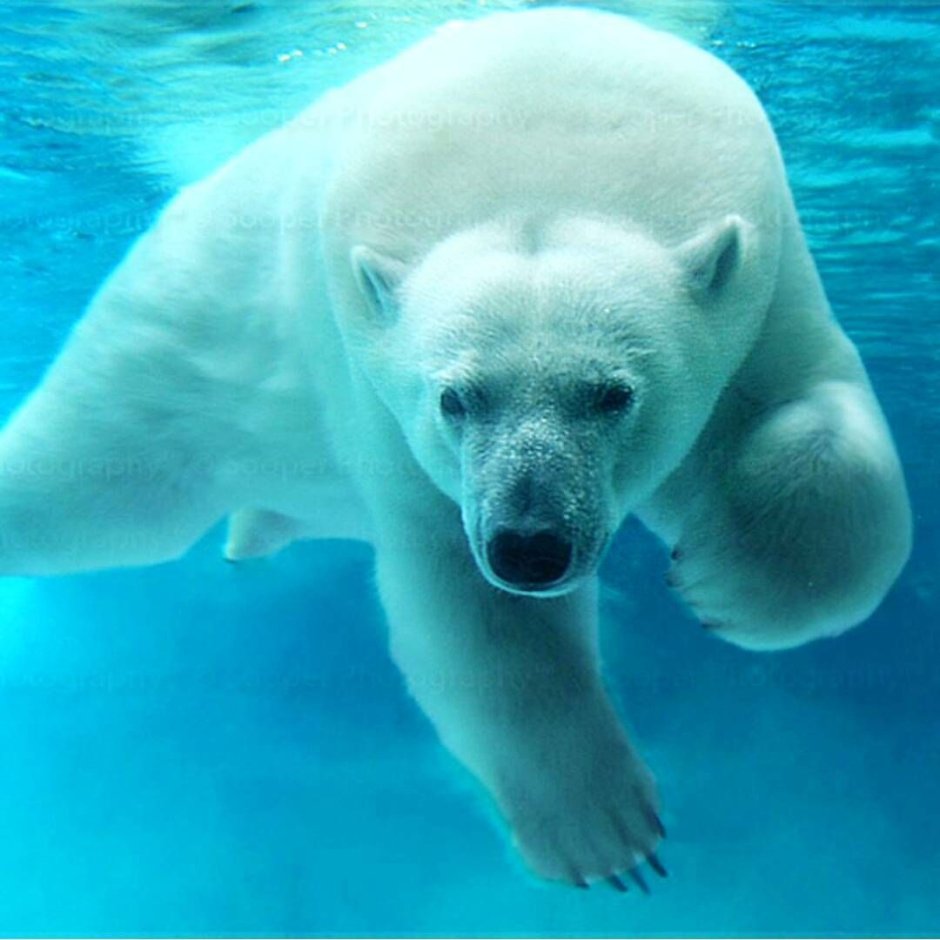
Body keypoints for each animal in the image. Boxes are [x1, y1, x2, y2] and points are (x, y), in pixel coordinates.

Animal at [0, 8, 912, 889]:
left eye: (613, 394)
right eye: (456, 398)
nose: (530, 546)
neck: (539, 142)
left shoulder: (767, 273)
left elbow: (810, 411)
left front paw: (733, 584)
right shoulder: (372, 377)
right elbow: (468, 608)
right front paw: (603, 831)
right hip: (184, 337)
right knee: (93, 499)